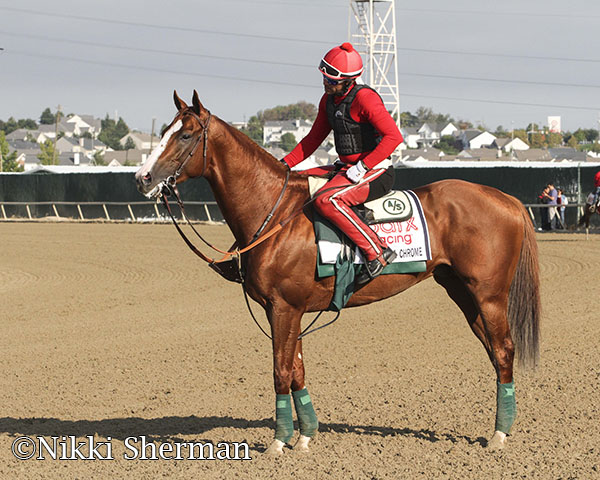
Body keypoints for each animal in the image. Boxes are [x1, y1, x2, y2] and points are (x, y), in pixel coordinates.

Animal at [138, 93, 540, 454]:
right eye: (165, 131)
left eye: (185, 135)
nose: (143, 177)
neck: (275, 211)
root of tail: (506, 199)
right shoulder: (287, 311)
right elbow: (297, 370)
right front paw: (305, 435)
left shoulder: (283, 308)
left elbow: (280, 371)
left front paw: (279, 441)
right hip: (462, 292)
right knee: (494, 352)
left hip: (489, 295)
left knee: (504, 350)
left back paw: (500, 434)